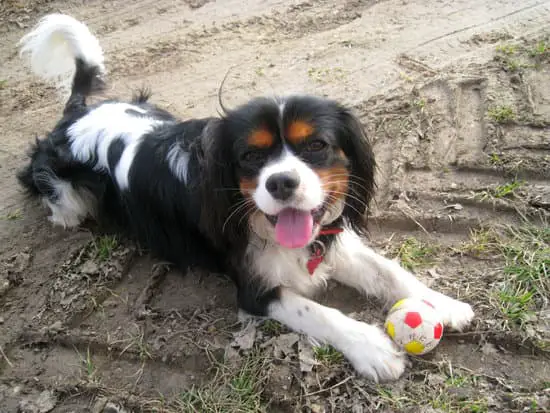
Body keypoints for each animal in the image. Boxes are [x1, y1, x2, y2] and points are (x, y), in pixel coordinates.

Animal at [17, 12, 474, 382]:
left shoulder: (327, 242)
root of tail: (76, 113)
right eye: (251, 156)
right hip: (62, 189)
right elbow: (320, 313)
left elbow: (388, 271)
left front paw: (442, 304)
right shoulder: (256, 290)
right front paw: (374, 348)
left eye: (317, 146)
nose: (281, 183)